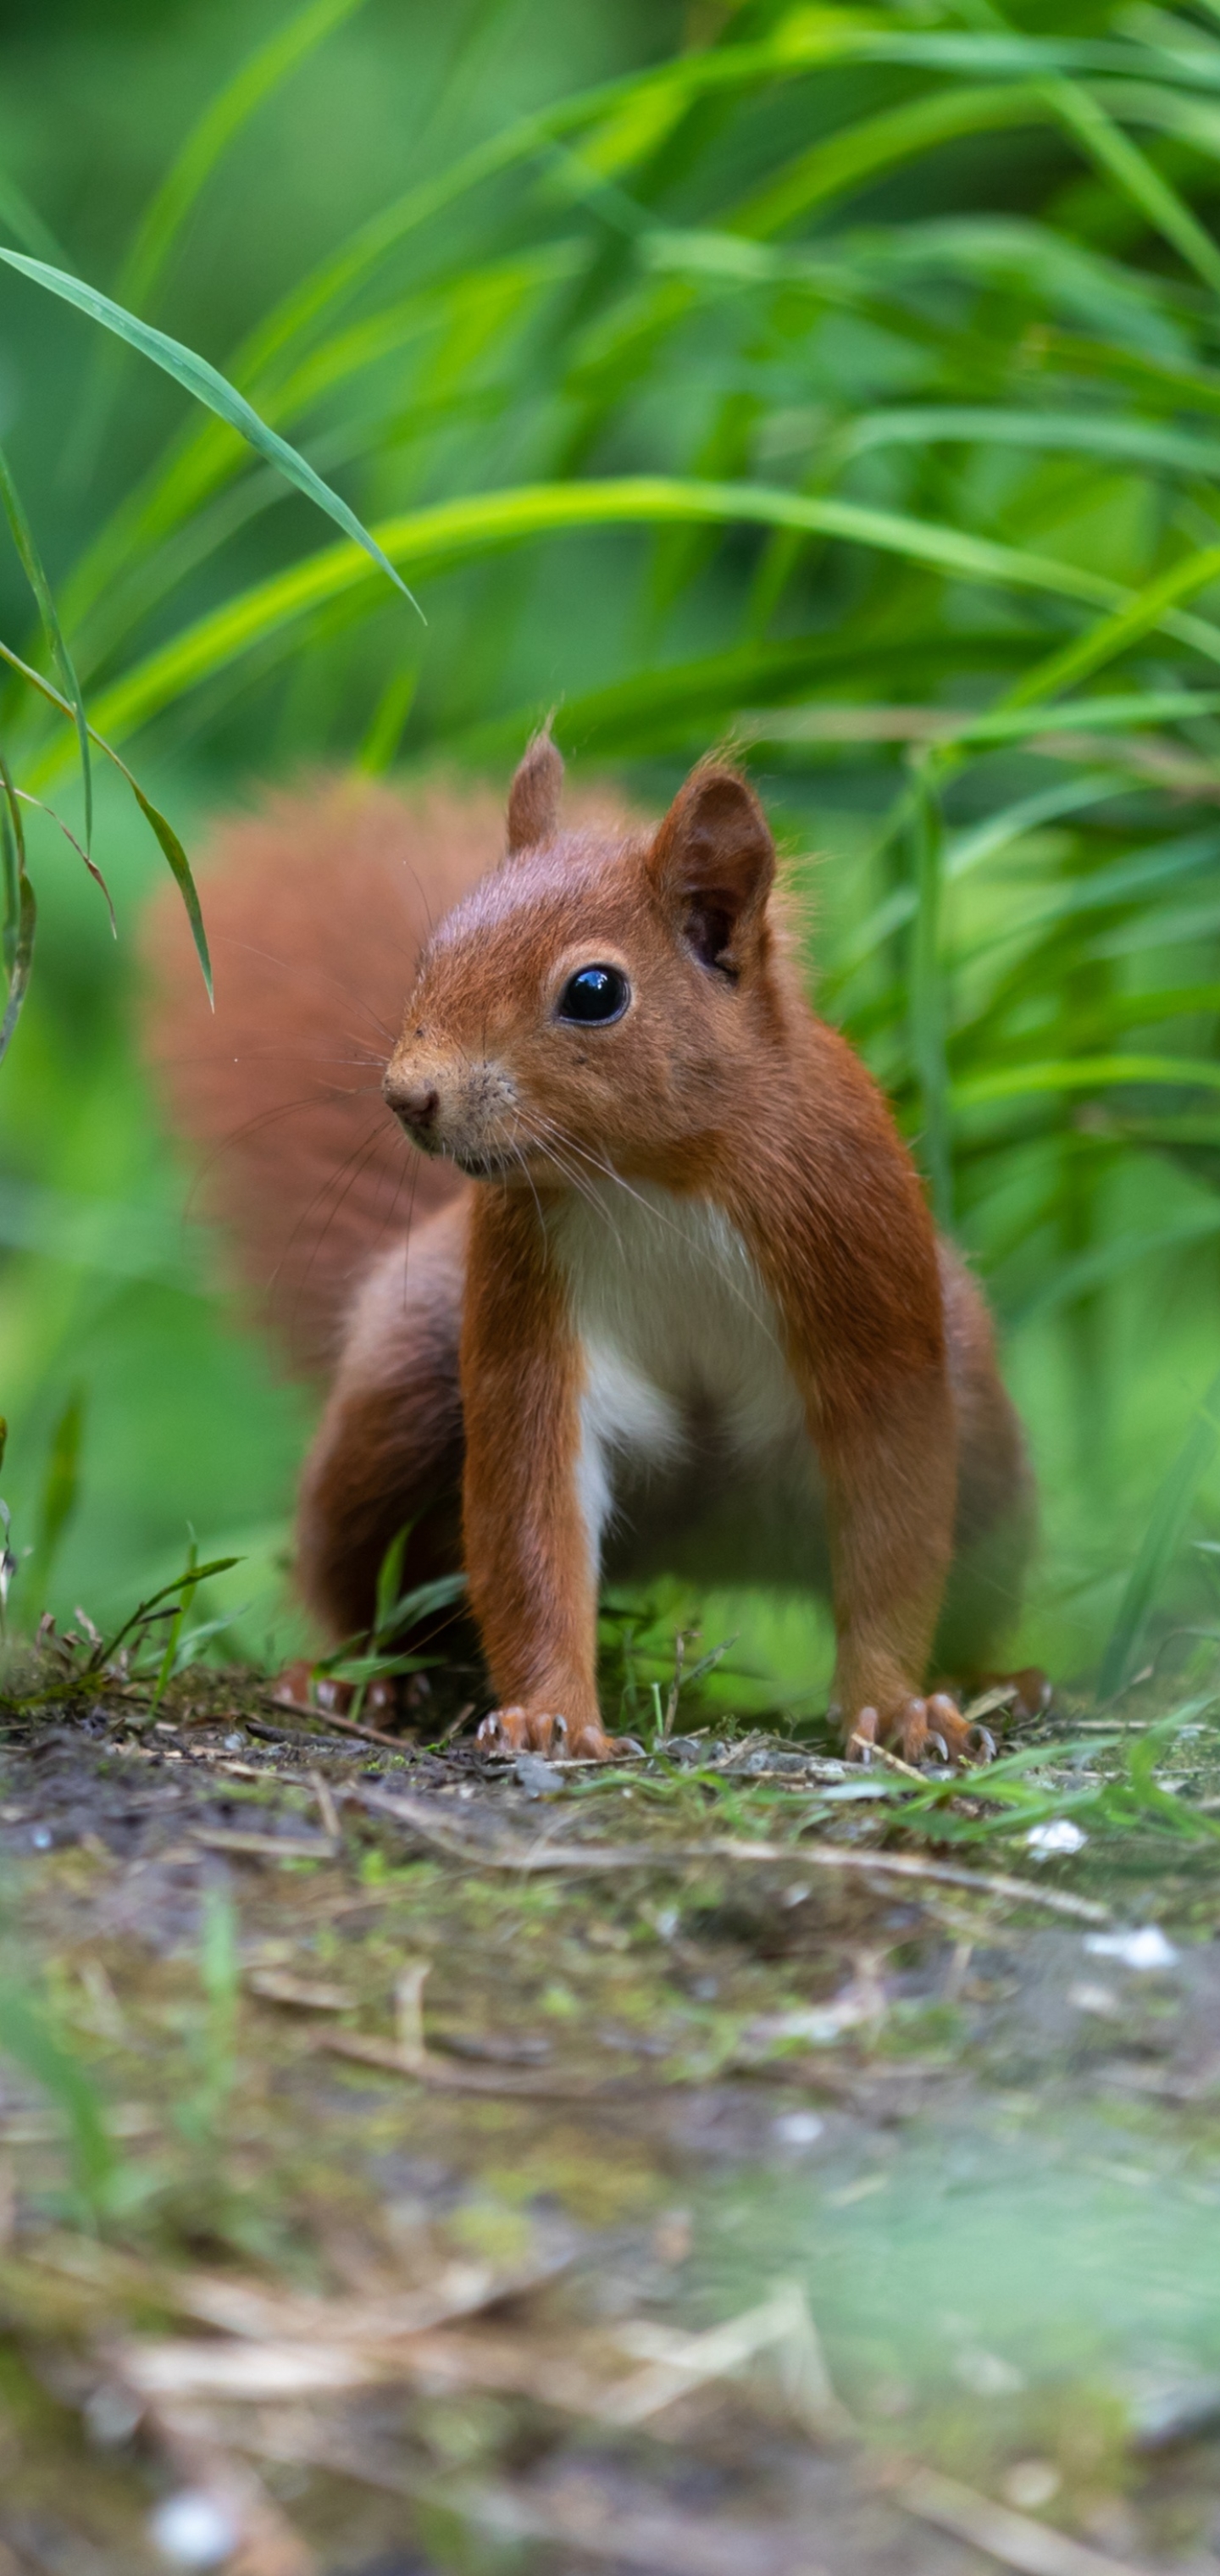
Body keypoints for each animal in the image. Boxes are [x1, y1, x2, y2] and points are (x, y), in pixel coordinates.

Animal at [145, 736, 1040, 1762]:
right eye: (429, 955)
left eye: (595, 992)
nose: (409, 1096)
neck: (655, 1176)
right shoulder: (526, 1299)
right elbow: (529, 1521)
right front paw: (550, 1713)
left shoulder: (861, 1264)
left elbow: (895, 1526)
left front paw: (895, 1704)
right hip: (405, 1388)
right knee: (369, 1568)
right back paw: (357, 1679)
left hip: (984, 1437)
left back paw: (994, 1678)